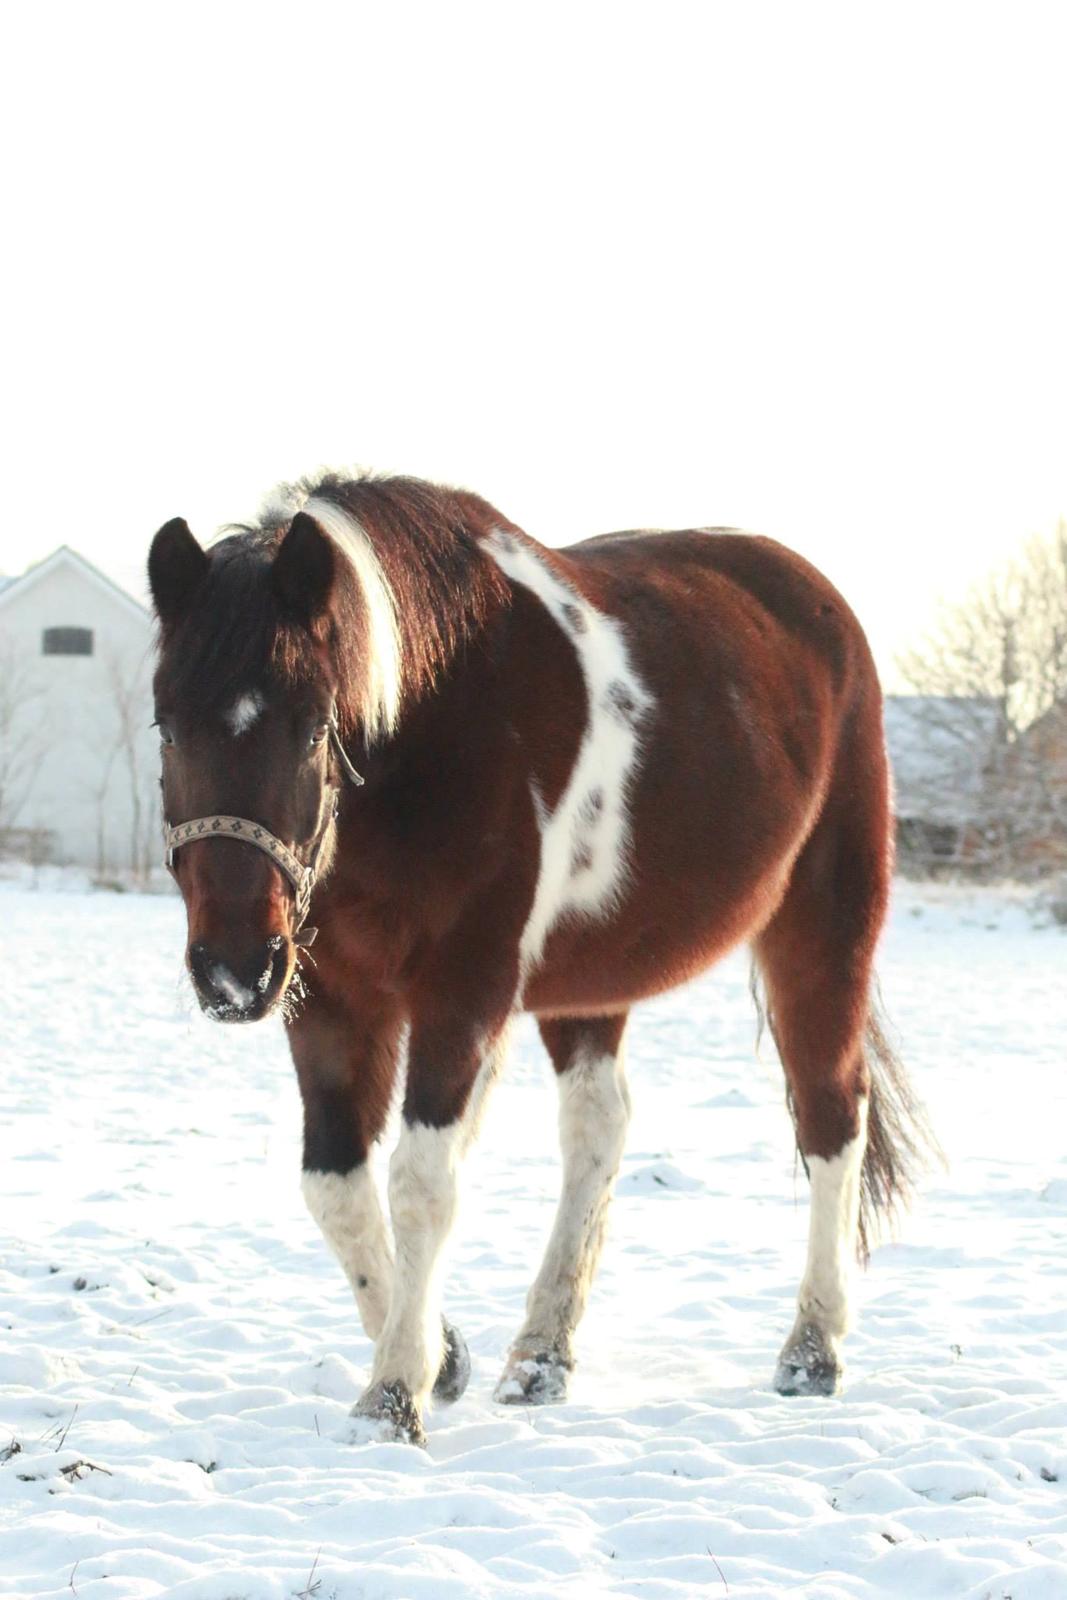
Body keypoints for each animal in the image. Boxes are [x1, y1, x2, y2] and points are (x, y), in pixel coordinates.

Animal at [147, 470, 932, 1445]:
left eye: (311, 728)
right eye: (167, 725)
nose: (232, 968)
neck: (431, 725)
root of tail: (826, 613)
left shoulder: (463, 992)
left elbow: (421, 1182)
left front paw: (393, 1394)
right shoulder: (331, 998)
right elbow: (334, 1185)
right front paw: (441, 1354)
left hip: (821, 933)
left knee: (830, 1117)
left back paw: (811, 1350)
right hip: (586, 983)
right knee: (599, 1128)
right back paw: (541, 1355)